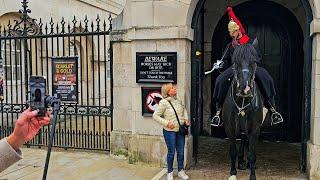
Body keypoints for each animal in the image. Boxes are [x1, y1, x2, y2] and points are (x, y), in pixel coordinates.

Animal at [221, 43, 264, 180]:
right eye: (235, 62)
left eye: (254, 62)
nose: (245, 89)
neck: (242, 102)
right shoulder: (229, 128)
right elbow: (232, 151)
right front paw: (233, 172)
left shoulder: (254, 129)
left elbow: (252, 154)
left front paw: (253, 175)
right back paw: (240, 161)